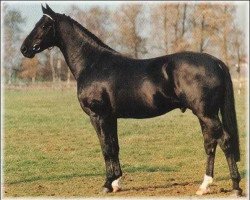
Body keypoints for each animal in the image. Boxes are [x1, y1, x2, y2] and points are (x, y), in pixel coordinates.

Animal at [21, 4, 242, 197]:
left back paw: (236, 187)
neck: (92, 64)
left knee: (225, 141)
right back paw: (204, 186)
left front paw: (107, 184)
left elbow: (106, 148)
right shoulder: (111, 117)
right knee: (210, 143)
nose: (24, 49)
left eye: (44, 25)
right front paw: (116, 182)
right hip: (205, 114)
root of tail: (216, 62)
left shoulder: (98, 116)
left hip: (206, 114)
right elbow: (114, 146)